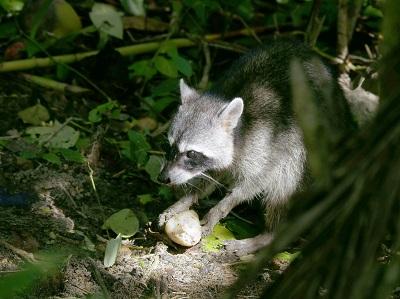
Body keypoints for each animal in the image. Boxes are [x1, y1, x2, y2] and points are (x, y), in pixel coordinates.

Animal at [156, 38, 354, 256]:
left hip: (311, 153)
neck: (238, 130)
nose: (163, 178)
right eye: (170, 146)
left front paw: (223, 205)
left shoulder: (268, 146)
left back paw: (267, 236)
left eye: (191, 153)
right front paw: (187, 198)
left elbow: (255, 183)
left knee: (285, 185)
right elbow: (211, 177)